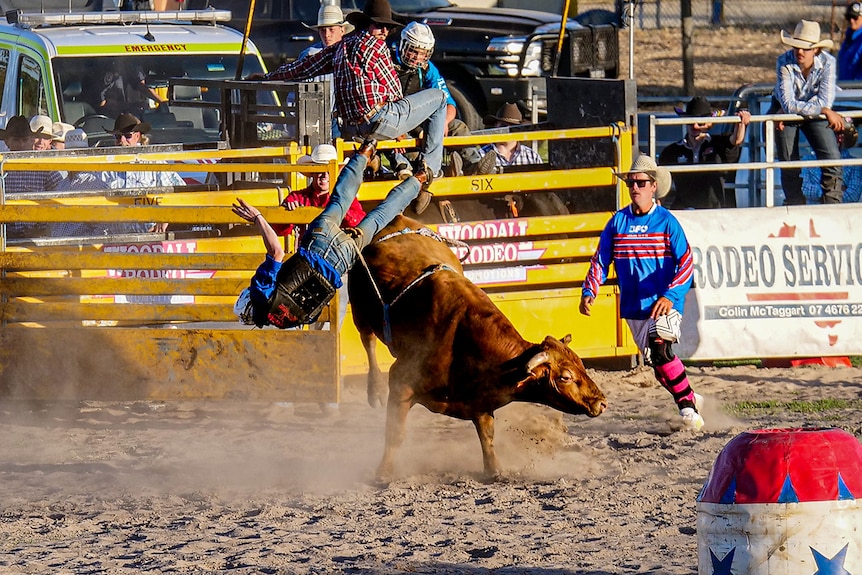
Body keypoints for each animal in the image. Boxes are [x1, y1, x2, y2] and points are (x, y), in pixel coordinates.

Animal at [348, 215, 607, 483]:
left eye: (582, 365)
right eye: (565, 377)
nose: (601, 402)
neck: (461, 342)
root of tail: (398, 220)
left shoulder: (481, 402)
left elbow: (487, 436)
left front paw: (494, 470)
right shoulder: (402, 381)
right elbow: (395, 433)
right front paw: (383, 473)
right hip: (359, 308)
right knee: (367, 340)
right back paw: (375, 390)